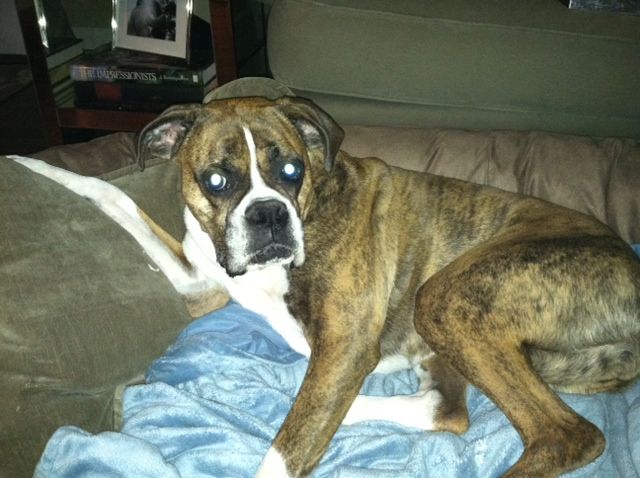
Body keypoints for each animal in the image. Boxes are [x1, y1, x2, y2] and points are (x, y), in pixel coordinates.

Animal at [139, 95, 640, 476]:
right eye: (216, 180)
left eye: (291, 170)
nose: (269, 215)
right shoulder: (199, 284)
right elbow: (137, 218)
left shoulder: (347, 344)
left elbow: (284, 454)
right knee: (445, 409)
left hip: (444, 299)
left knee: (565, 435)